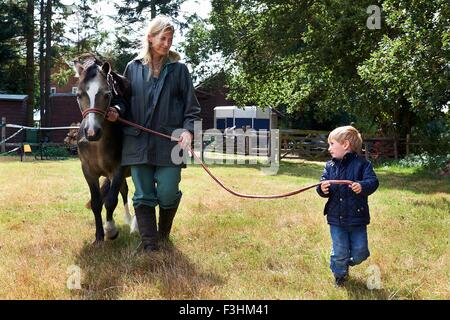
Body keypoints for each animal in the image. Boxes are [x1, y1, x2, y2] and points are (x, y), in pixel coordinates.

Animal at [72, 56, 134, 244]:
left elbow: (111, 201)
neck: (97, 145)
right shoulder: (88, 172)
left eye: (107, 94)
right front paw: (99, 236)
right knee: (124, 190)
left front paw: (110, 230)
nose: (92, 132)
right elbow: (96, 202)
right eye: (79, 95)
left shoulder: (118, 170)